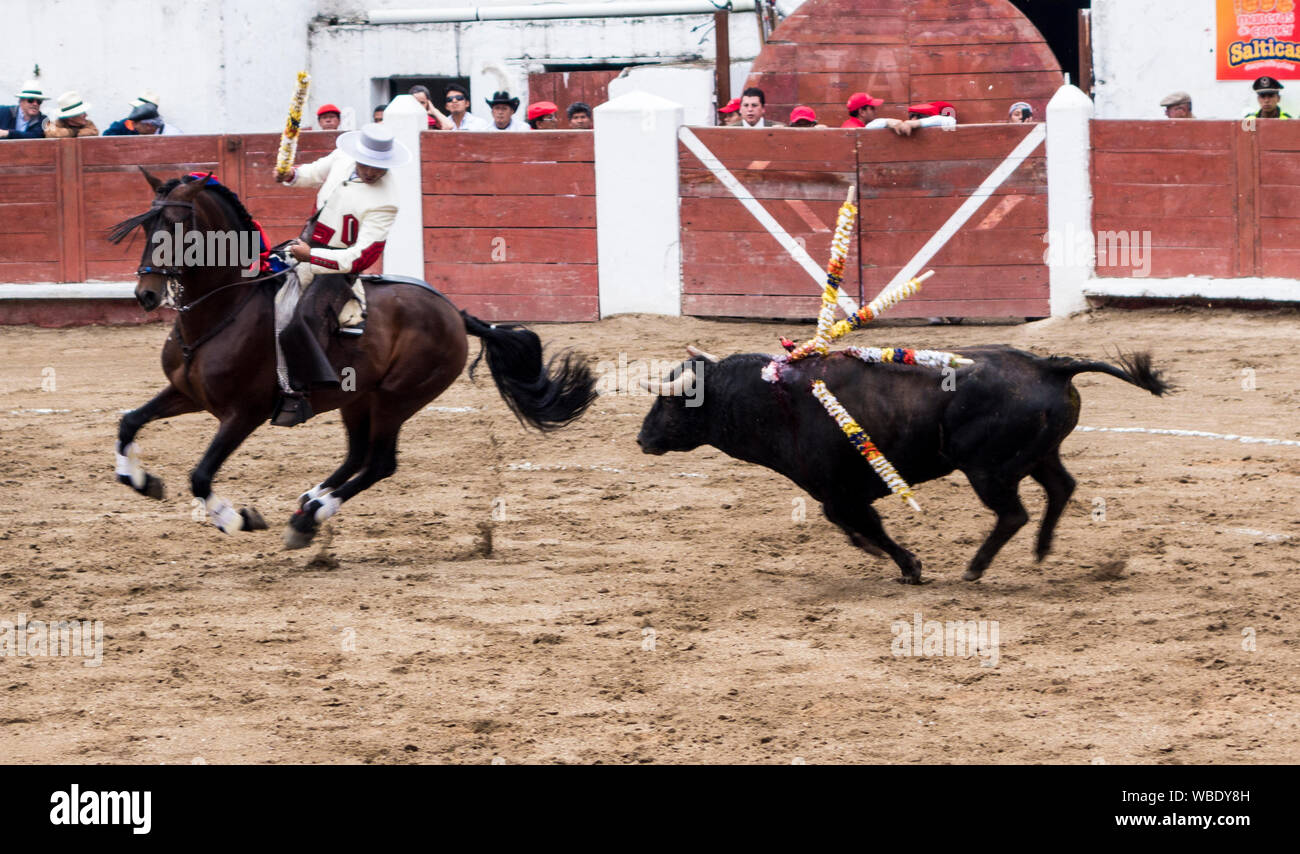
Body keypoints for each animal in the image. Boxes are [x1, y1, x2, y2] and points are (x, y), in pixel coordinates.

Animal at [108, 168, 596, 549]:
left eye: (177, 226)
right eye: (147, 227)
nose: (146, 294)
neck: (226, 308)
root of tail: (455, 313)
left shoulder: (242, 414)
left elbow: (201, 474)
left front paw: (237, 518)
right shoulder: (186, 392)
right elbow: (129, 422)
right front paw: (141, 480)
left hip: (396, 399)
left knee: (379, 463)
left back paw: (310, 516)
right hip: (357, 398)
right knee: (358, 455)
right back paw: (310, 502)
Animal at [636, 345, 1171, 583]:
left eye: (669, 402)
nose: (641, 439)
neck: (773, 398)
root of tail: (1049, 365)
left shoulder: (837, 491)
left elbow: (860, 523)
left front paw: (908, 566)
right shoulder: (840, 493)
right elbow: (854, 525)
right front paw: (885, 556)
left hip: (989, 470)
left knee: (1013, 513)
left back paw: (975, 569)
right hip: (1038, 455)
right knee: (1061, 488)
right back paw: (1041, 551)